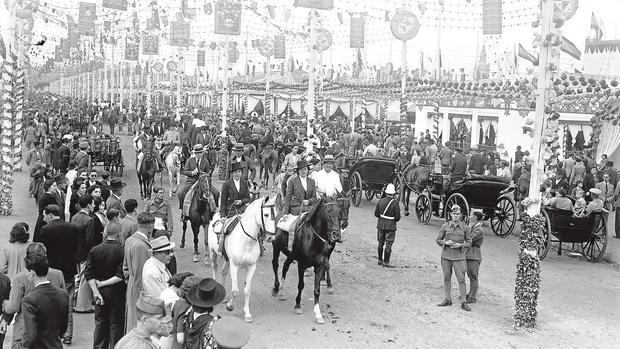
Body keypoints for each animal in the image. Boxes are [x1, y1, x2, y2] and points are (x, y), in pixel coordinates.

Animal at [207, 194, 278, 322]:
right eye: (266, 214)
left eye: (276, 212)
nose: (271, 237)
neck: (246, 241)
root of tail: (216, 215)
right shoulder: (234, 266)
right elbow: (235, 291)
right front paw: (230, 306)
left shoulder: (251, 267)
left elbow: (247, 290)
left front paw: (247, 313)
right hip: (213, 253)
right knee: (214, 268)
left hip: (227, 259)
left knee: (223, 272)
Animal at [272, 196, 346, 324]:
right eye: (328, 211)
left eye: (339, 212)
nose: (336, 235)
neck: (313, 238)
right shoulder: (301, 265)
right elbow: (301, 285)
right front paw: (297, 305)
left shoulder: (320, 265)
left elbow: (317, 289)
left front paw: (318, 313)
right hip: (276, 248)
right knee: (275, 265)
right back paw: (276, 288)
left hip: (290, 255)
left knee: (285, 267)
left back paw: (281, 291)